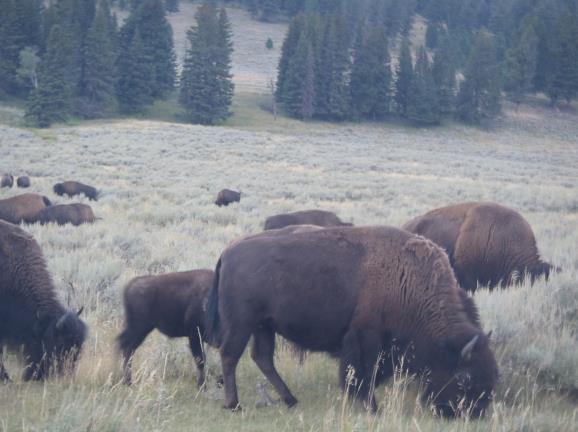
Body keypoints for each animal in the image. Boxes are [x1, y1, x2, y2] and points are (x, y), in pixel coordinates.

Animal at [206, 226, 496, 418]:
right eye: (464, 378)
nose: (472, 414)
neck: (409, 284)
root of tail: (228, 251)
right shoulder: (365, 339)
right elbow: (363, 373)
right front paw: (372, 407)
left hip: (264, 326)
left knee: (262, 357)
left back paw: (290, 399)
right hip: (242, 324)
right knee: (230, 355)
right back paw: (234, 404)